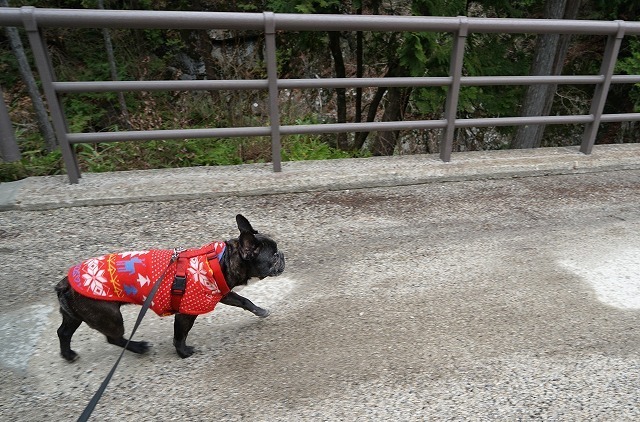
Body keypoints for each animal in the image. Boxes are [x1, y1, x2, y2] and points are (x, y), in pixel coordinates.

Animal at [55, 214, 284, 360]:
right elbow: (180, 334)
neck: (221, 260)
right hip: (108, 316)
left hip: (76, 315)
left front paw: (260, 310)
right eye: (273, 256)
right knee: (113, 337)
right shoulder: (187, 311)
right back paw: (138, 347)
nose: (282, 255)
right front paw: (183, 353)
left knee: (63, 332)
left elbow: (244, 300)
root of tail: (64, 283)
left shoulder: (222, 293)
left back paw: (68, 355)